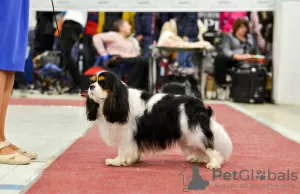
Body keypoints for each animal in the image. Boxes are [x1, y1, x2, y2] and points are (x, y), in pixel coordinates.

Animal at [85, 71, 233, 168]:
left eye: (102, 83)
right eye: (92, 81)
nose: (90, 86)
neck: (119, 99)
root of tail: (199, 104)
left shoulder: (126, 133)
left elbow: (122, 149)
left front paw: (118, 161)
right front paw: (133, 159)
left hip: (195, 131)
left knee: (209, 147)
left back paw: (214, 163)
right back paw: (199, 158)